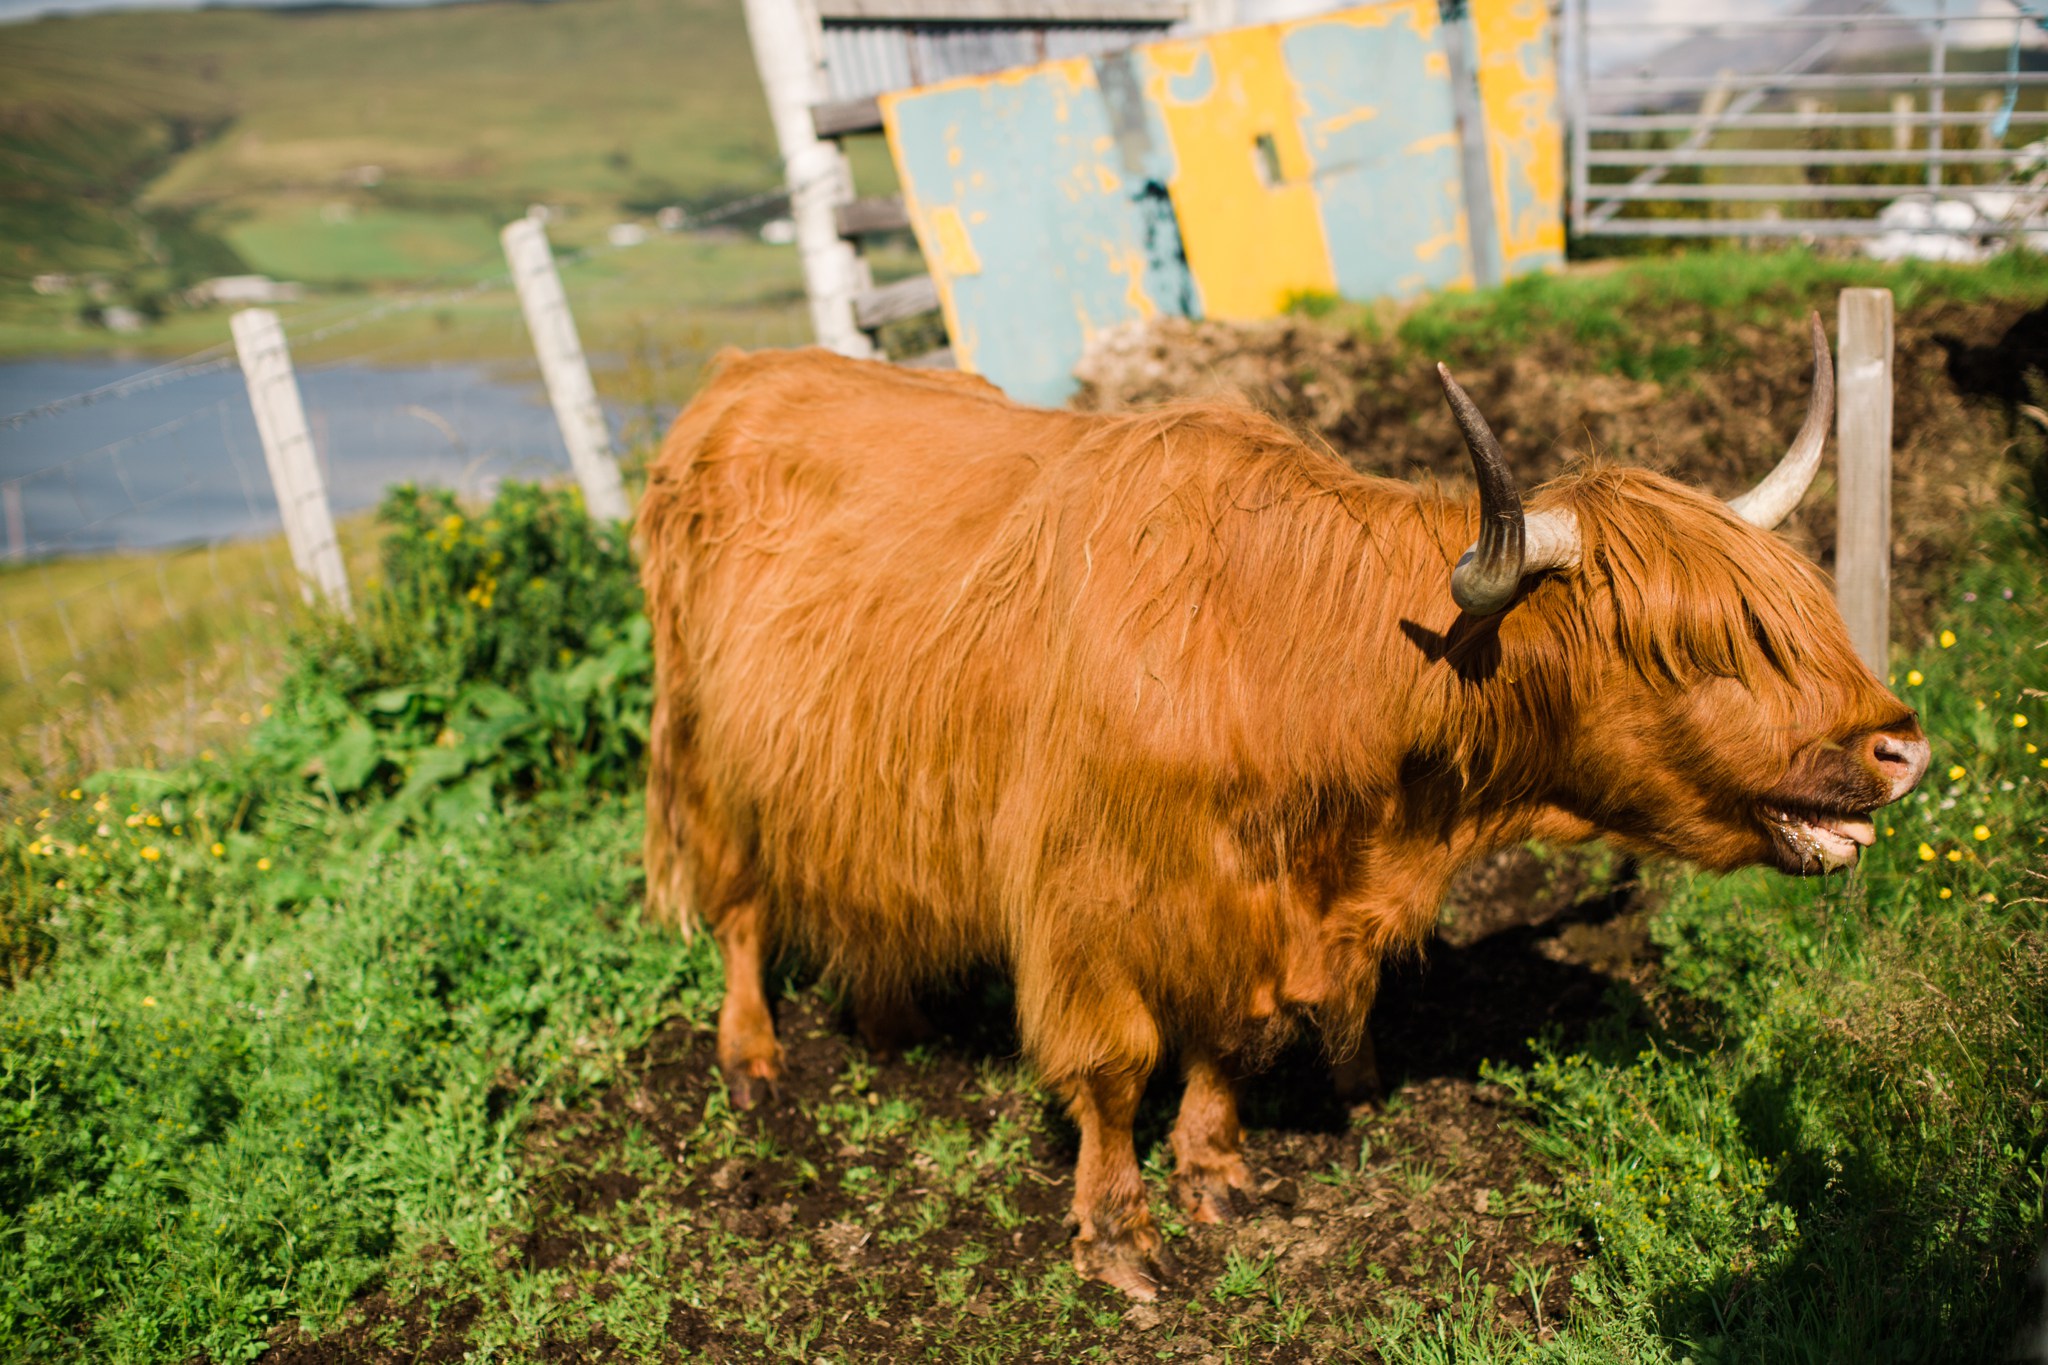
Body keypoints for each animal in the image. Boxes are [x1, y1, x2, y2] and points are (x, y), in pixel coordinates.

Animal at [638, 315, 1933, 1301]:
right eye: (1690, 648)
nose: (1899, 746)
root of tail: (744, 374)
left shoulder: (1253, 908)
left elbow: (1234, 1041)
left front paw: (1215, 1175)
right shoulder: (1091, 898)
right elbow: (1114, 1068)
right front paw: (1119, 1238)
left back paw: (891, 1018)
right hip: (709, 748)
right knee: (738, 904)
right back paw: (752, 1061)